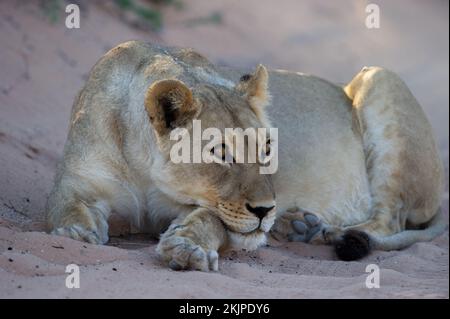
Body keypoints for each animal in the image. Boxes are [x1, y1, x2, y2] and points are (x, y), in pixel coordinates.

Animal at [46, 39, 446, 270]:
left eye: (267, 147)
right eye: (221, 152)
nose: (266, 209)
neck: (145, 168)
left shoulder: (218, 214)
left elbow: (208, 220)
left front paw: (187, 248)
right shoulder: (77, 182)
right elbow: (64, 207)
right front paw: (78, 233)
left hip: (380, 77)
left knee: (388, 220)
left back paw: (322, 231)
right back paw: (298, 224)